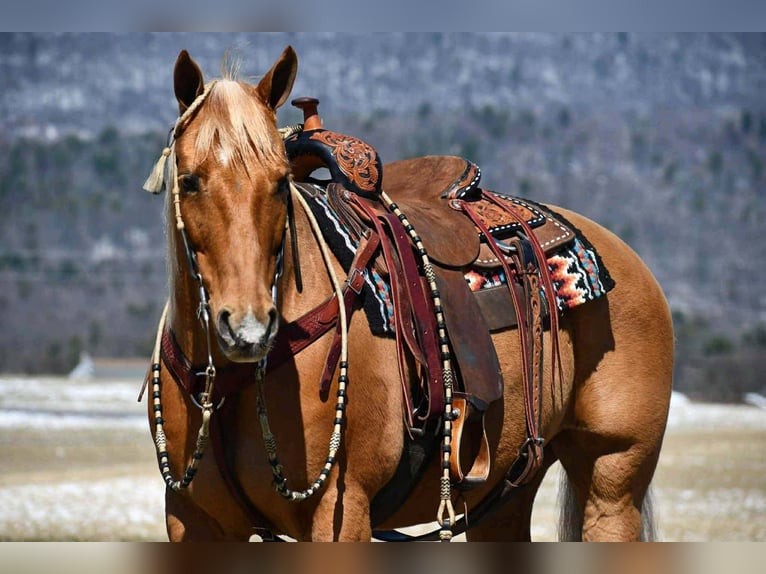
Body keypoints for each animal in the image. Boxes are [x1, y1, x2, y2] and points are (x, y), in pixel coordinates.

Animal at [142, 46, 674, 542]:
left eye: (278, 184)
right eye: (189, 181)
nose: (248, 328)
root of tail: (627, 258)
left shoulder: (341, 513)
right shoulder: (192, 520)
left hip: (612, 479)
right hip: (507, 493)